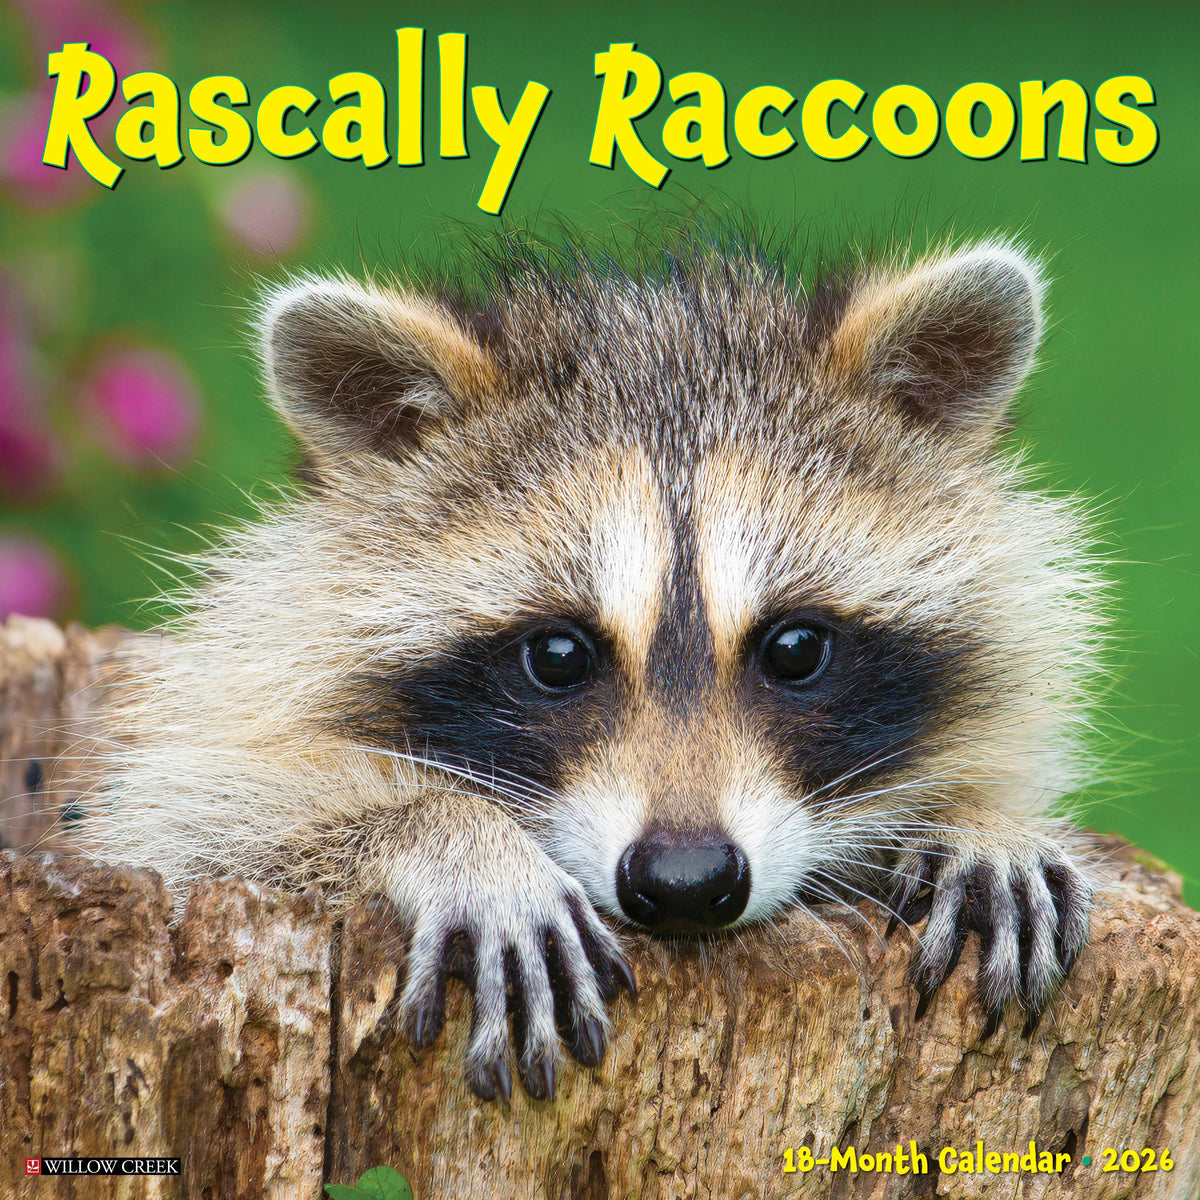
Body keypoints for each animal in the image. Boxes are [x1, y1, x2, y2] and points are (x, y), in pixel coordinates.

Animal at [81, 229, 1103, 1102]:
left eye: (796, 648)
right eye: (559, 656)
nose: (687, 882)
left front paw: (979, 818)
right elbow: (199, 832)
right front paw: (448, 831)